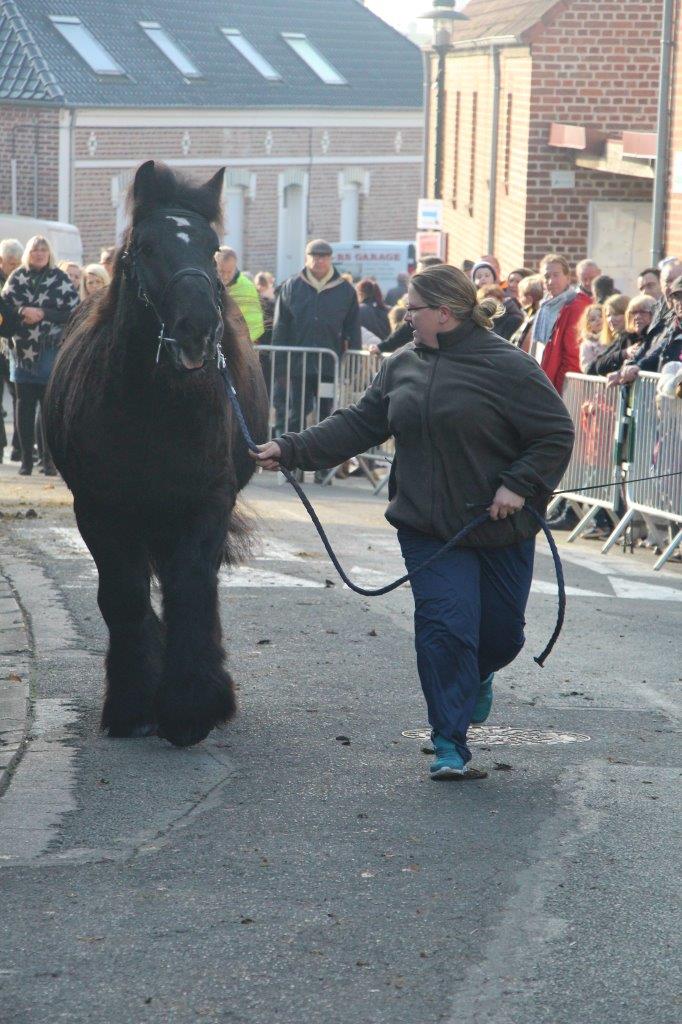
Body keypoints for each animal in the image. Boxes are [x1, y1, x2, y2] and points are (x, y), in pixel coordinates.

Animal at [43, 163, 268, 749]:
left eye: (213, 248)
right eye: (144, 247)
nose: (198, 328)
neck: (154, 407)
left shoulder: (205, 503)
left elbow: (191, 588)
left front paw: (190, 707)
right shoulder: (99, 509)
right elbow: (123, 596)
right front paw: (131, 706)